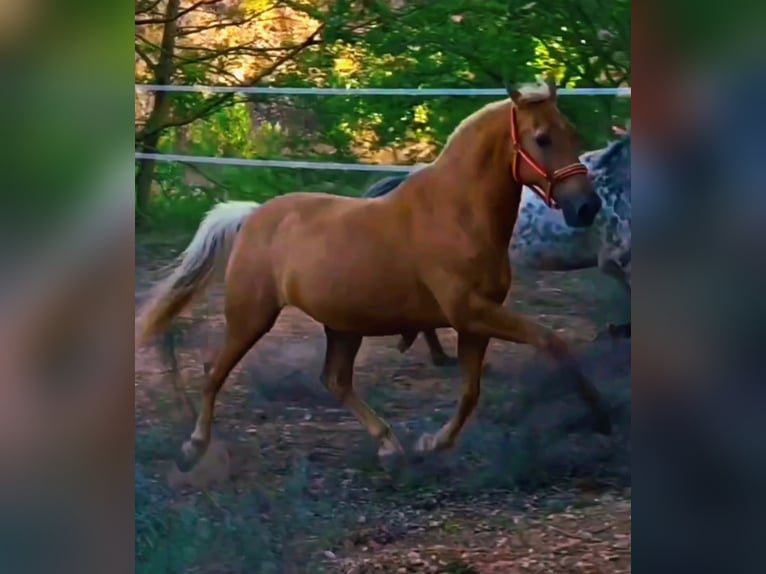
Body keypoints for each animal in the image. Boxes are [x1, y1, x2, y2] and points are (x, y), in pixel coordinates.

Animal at [136, 79, 612, 474]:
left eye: (572, 134)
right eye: (542, 138)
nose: (587, 207)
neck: (456, 213)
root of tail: (253, 216)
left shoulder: (475, 321)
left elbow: (471, 391)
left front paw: (430, 444)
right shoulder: (471, 312)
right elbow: (549, 340)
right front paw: (599, 415)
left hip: (343, 326)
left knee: (335, 380)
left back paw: (389, 446)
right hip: (252, 316)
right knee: (215, 369)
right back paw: (194, 447)